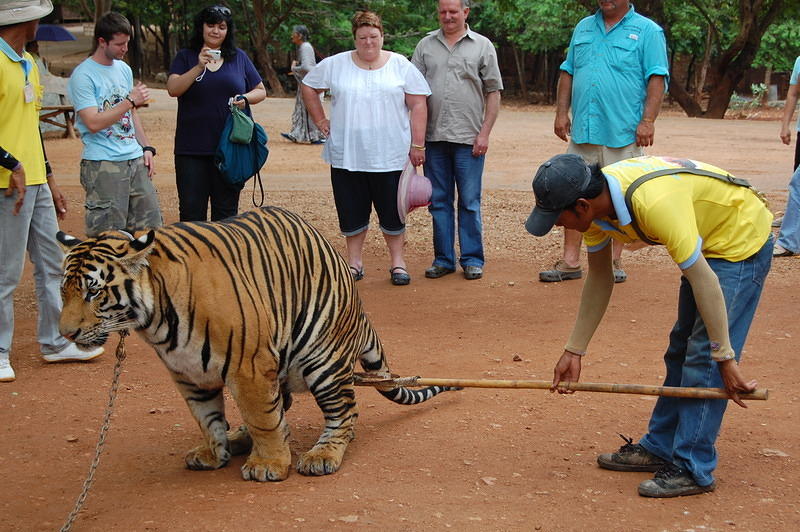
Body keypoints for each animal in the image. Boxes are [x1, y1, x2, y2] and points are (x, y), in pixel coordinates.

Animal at [56, 207, 460, 482]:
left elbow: (263, 417)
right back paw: (239, 438)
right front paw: (215, 452)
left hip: (322, 361)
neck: (155, 321)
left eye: (94, 292)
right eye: (64, 291)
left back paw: (322, 454)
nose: (67, 334)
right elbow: (206, 418)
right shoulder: (188, 374)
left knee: (344, 412)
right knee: (287, 405)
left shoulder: (248, 365)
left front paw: (269, 465)